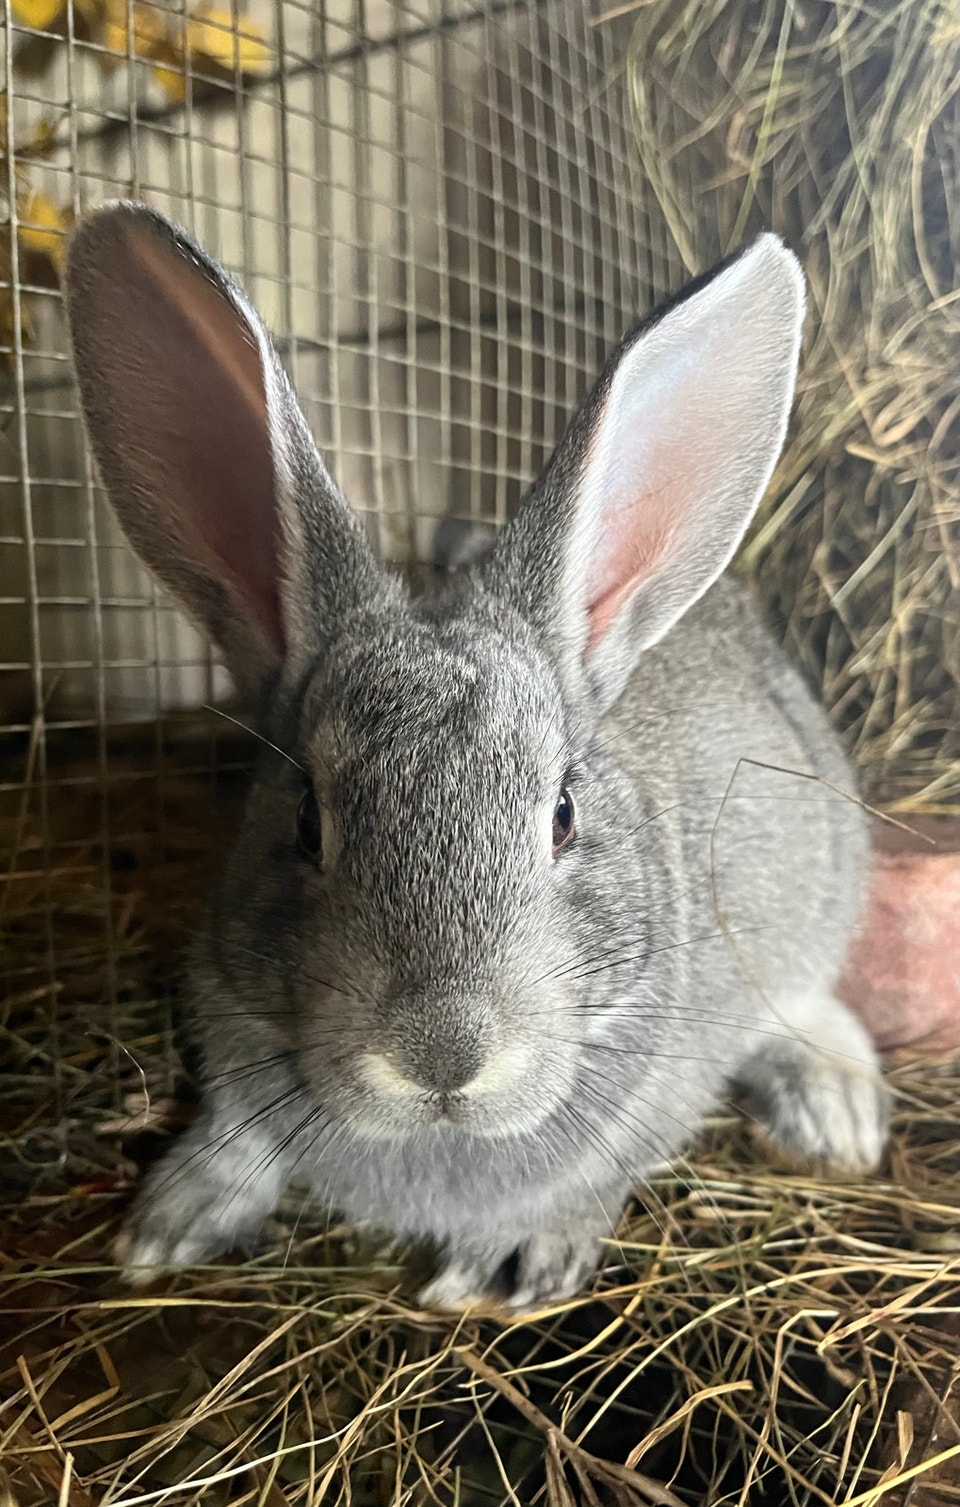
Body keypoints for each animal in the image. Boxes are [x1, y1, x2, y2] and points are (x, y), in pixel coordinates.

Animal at [64, 204, 889, 1311]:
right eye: (306, 819)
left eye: (564, 813)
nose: (443, 1055)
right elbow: (237, 1136)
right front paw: (168, 1224)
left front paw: (511, 1259)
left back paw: (835, 1111)